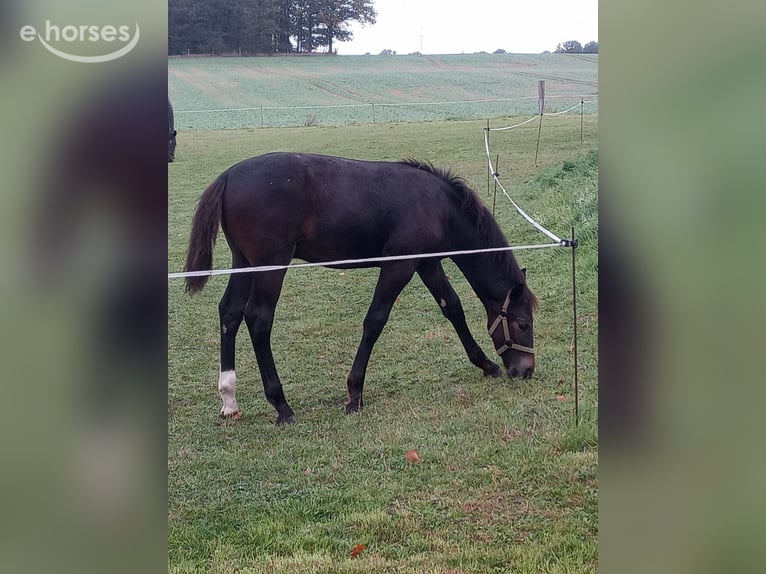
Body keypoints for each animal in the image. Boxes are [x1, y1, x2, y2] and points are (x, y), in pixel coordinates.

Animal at [183, 152, 538, 424]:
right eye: (523, 323)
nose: (526, 370)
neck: (438, 205)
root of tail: (228, 176)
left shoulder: (426, 264)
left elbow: (453, 308)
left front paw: (486, 365)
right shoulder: (398, 267)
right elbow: (375, 321)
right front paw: (355, 394)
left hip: (243, 262)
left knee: (229, 312)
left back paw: (229, 399)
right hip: (271, 266)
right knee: (258, 320)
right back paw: (281, 405)